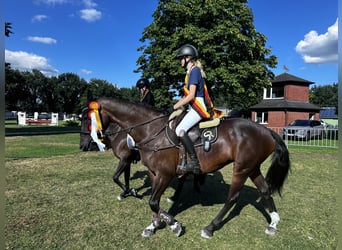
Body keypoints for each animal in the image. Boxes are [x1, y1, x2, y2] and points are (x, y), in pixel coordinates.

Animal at [92, 96, 290, 238]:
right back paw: (273, 223)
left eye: (90, 117)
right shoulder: (153, 172)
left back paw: (210, 227)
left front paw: (173, 224)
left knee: (232, 198)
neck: (151, 130)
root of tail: (267, 131)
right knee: (265, 190)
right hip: (252, 168)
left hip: (241, 169)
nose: (96, 139)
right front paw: (153, 225)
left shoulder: (164, 174)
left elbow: (153, 202)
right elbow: (154, 203)